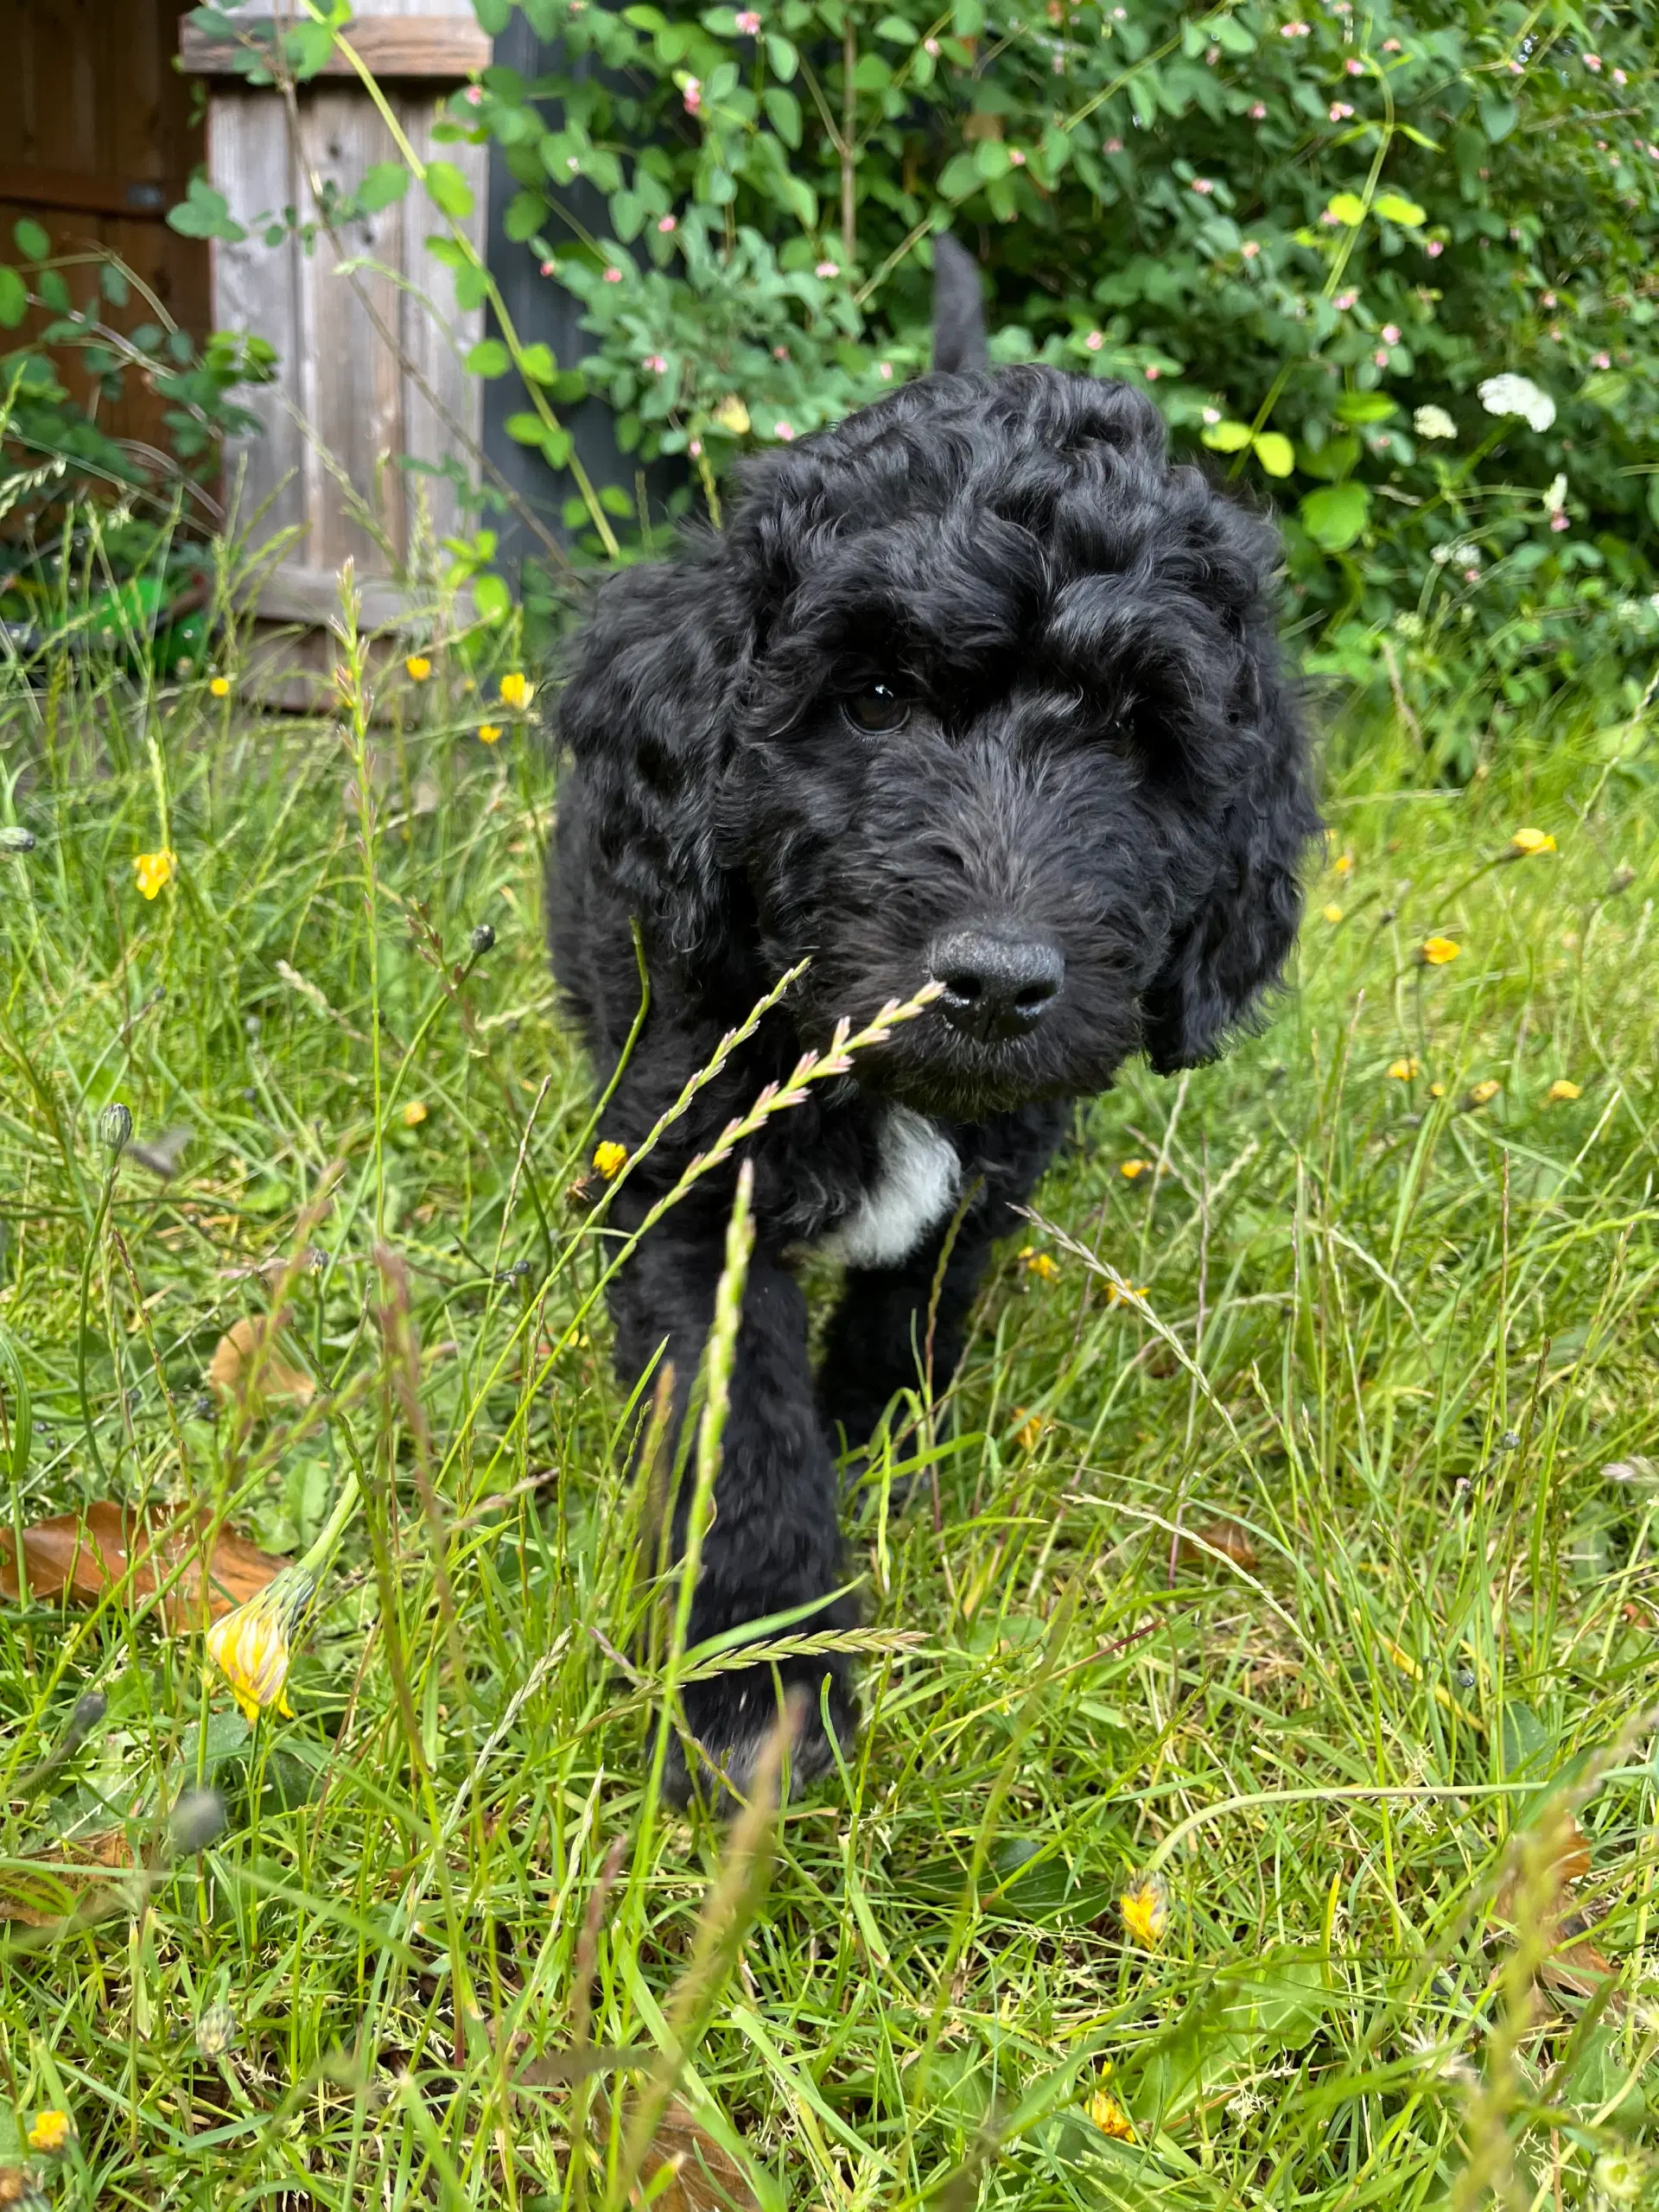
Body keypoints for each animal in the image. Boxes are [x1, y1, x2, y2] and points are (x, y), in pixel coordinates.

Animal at [553, 242, 1318, 1804]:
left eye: (1137, 734)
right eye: (875, 698)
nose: (1001, 981)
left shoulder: (997, 1168)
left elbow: (916, 1307)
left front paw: (875, 1447)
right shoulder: (682, 1175)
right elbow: (737, 1427)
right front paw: (760, 1689)